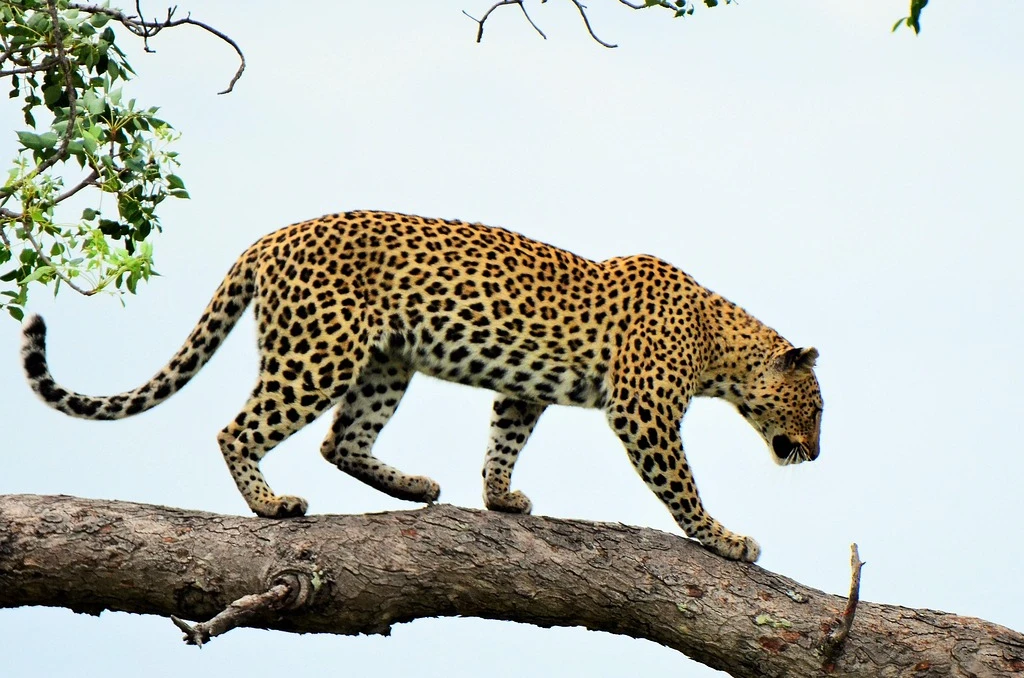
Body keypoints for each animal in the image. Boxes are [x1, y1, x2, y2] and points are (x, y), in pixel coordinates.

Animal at [20, 210, 823, 562]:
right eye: (815, 408)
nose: (815, 454)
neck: (719, 346)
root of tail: (269, 238)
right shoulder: (643, 410)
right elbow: (681, 485)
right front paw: (725, 539)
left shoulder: (525, 389)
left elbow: (505, 437)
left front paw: (500, 499)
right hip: (319, 353)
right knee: (238, 429)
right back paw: (272, 506)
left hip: (385, 362)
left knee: (343, 440)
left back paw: (414, 488)